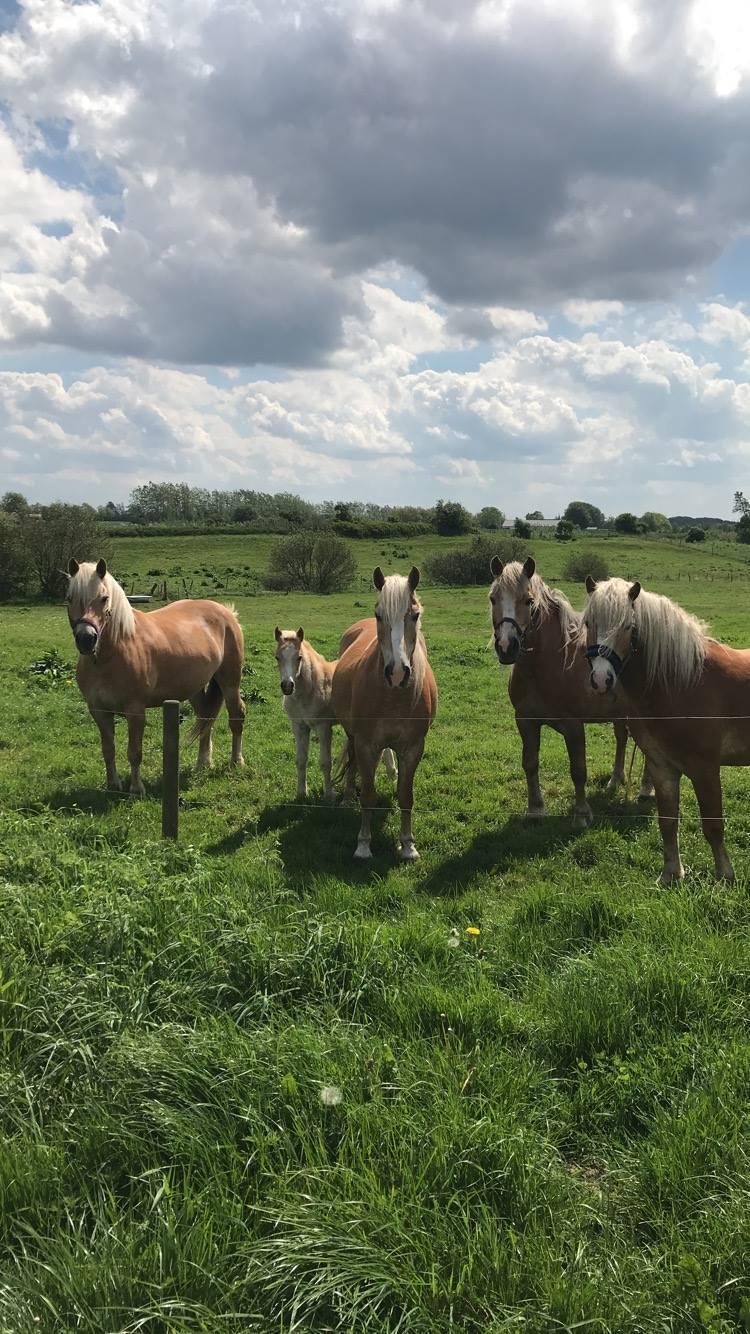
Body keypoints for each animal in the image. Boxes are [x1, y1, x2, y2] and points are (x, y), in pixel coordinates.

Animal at [65, 554, 244, 789]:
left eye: (104, 598)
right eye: (69, 598)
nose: (86, 639)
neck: (108, 657)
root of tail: (227, 612)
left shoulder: (135, 710)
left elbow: (134, 752)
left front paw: (136, 789)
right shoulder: (99, 711)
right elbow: (108, 750)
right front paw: (113, 786)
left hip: (230, 682)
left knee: (236, 716)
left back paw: (236, 762)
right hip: (193, 688)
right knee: (205, 719)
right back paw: (202, 764)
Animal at [273, 626, 395, 800]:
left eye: (299, 657)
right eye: (277, 657)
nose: (287, 686)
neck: (312, 688)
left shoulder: (323, 727)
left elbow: (325, 762)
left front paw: (329, 794)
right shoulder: (299, 726)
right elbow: (301, 760)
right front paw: (301, 793)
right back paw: (391, 774)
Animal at [329, 565, 435, 859]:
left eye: (415, 615)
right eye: (379, 615)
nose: (397, 672)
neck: (394, 698)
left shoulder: (413, 747)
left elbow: (406, 796)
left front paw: (408, 845)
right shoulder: (366, 743)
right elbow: (367, 795)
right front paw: (363, 845)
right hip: (353, 736)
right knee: (353, 763)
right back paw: (346, 798)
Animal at [488, 549, 651, 821]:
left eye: (528, 601)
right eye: (493, 599)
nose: (506, 647)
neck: (545, 666)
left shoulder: (574, 726)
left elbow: (578, 770)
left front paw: (582, 813)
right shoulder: (525, 721)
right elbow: (530, 763)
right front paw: (535, 808)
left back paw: (647, 788)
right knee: (621, 738)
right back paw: (615, 780)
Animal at [584, 576, 747, 880]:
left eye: (628, 626)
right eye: (588, 622)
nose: (601, 679)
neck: (682, 681)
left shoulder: (705, 768)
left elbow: (713, 825)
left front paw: (725, 875)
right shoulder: (661, 767)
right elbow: (668, 822)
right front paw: (671, 874)